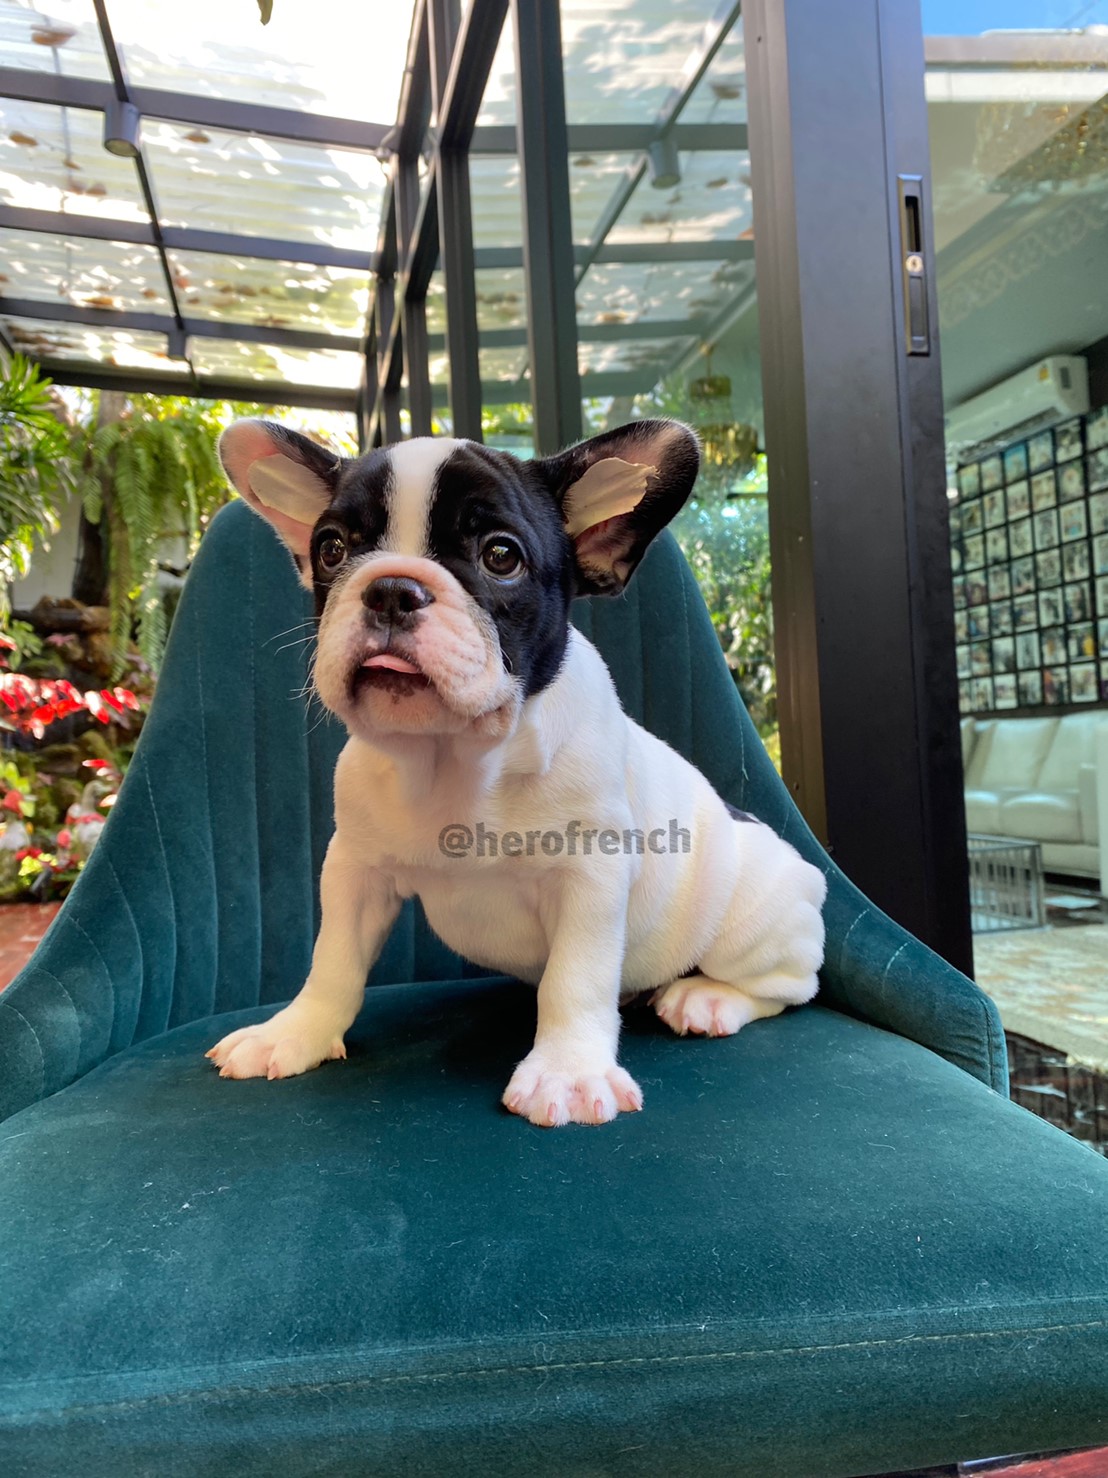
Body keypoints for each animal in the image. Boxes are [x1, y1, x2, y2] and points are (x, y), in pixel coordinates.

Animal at [206, 418, 826, 1126]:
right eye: (333, 550)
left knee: (789, 984)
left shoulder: (590, 874)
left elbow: (575, 980)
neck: (455, 755)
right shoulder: (353, 871)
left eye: (501, 557)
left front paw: (568, 1072)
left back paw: (706, 999)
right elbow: (333, 961)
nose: (391, 588)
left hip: (755, 922)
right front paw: (296, 1032)